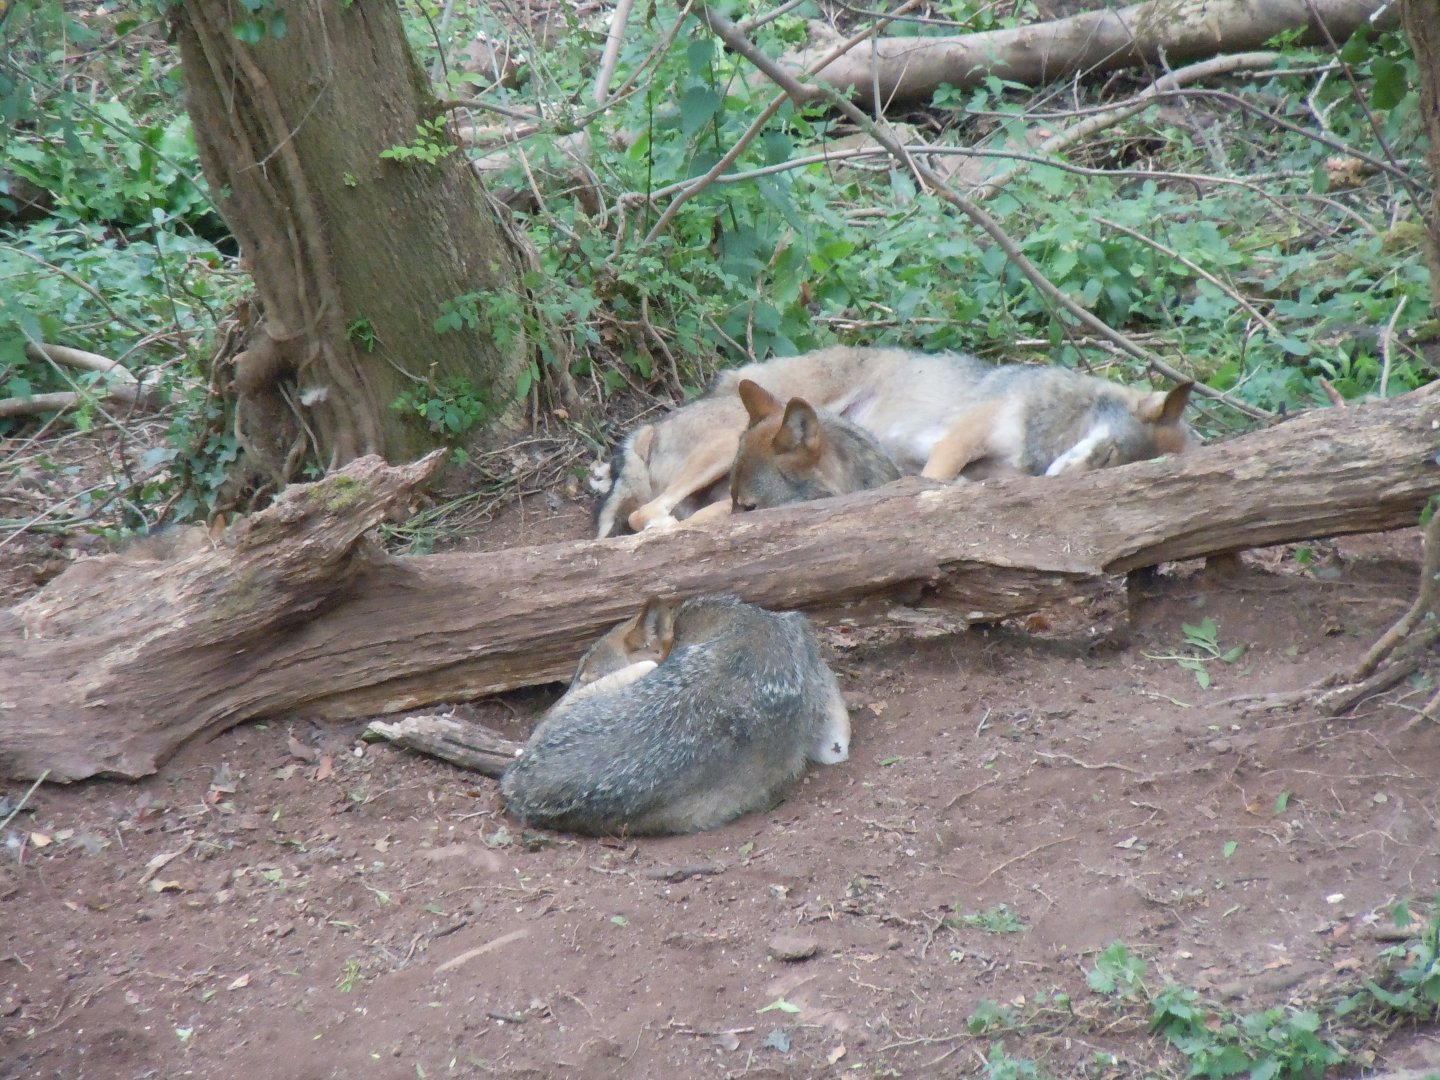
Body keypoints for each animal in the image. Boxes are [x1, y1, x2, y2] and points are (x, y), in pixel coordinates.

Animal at [590, 346, 1194, 536]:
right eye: (1108, 456)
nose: (1060, 484)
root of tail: (652, 424)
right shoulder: (962, 436)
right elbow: (932, 481)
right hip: (724, 450)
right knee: (645, 516)